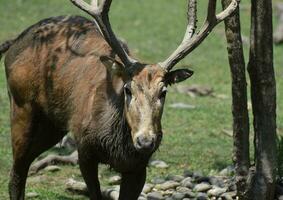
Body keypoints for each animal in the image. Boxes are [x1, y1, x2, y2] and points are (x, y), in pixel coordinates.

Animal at [0, 0, 239, 199]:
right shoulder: (84, 150)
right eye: (127, 89)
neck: (116, 147)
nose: (146, 141)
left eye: (163, 91)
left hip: (53, 125)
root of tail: (15, 41)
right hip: (21, 105)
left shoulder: (138, 166)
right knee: (16, 172)